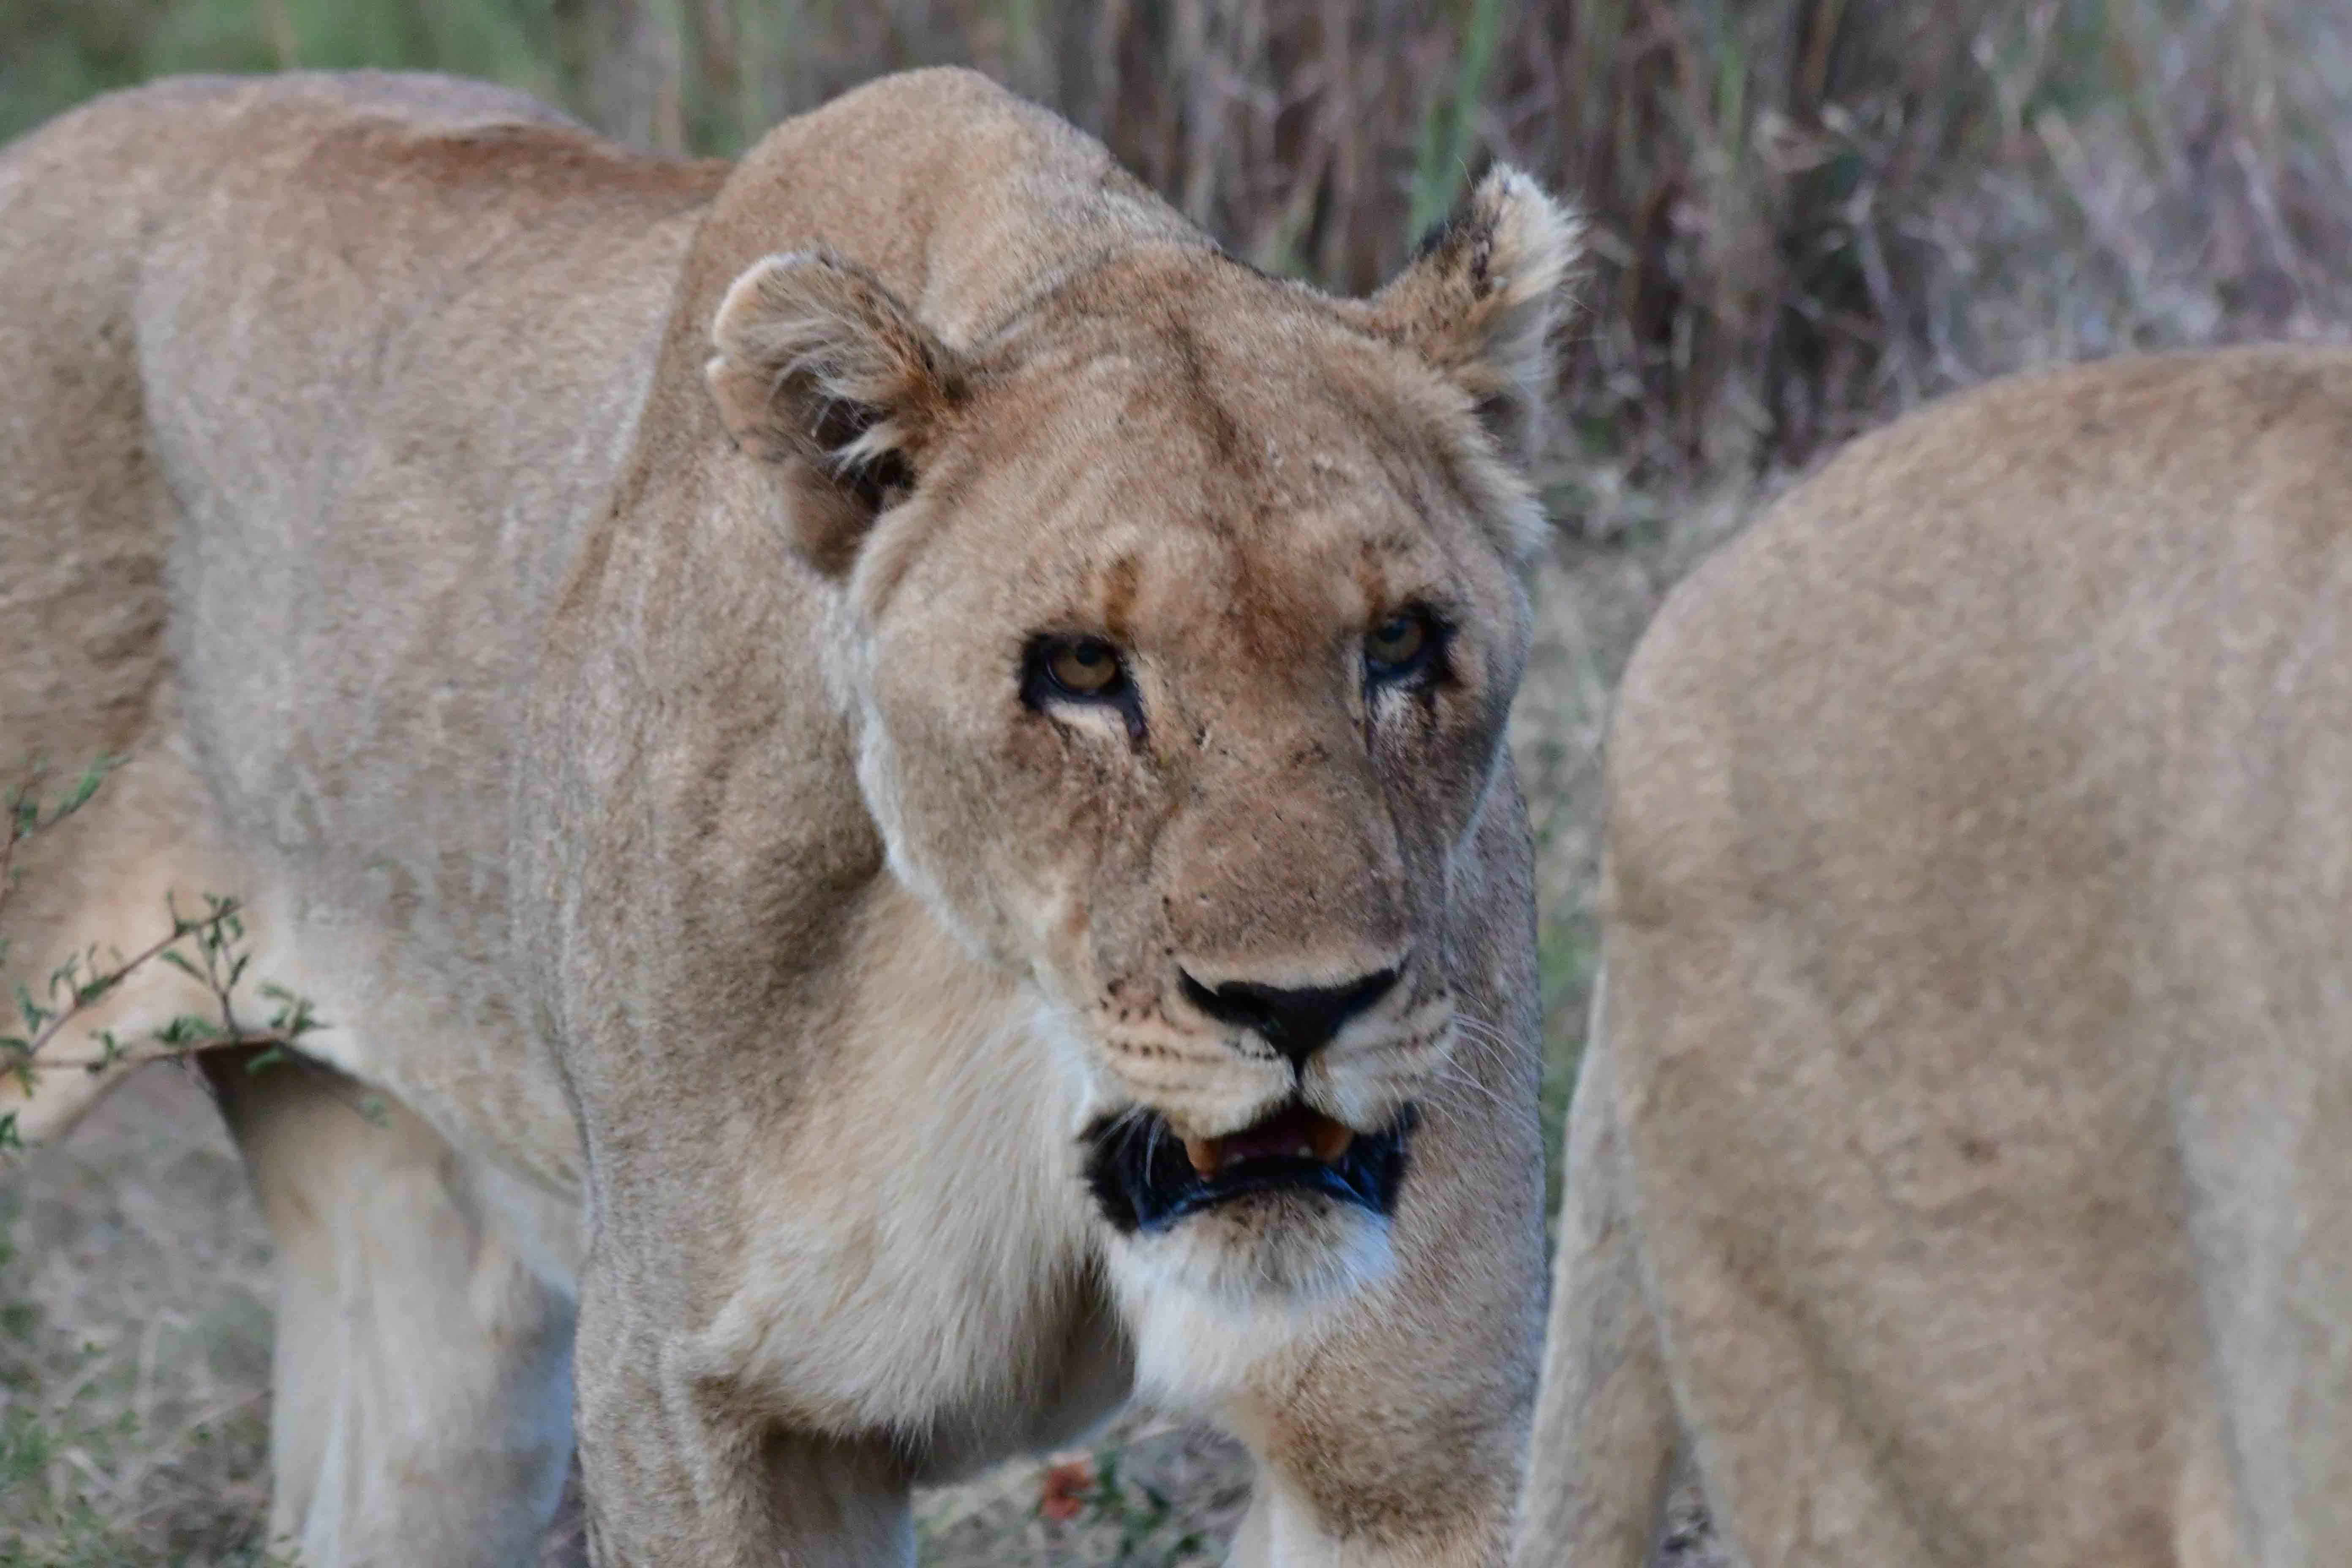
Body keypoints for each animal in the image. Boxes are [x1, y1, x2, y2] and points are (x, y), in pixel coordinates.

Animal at [0, 65, 1579, 1567]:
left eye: (1398, 643)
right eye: (1079, 669)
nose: (1301, 1009)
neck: (1009, 1004)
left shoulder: (1412, 1434)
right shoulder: (696, 1394)